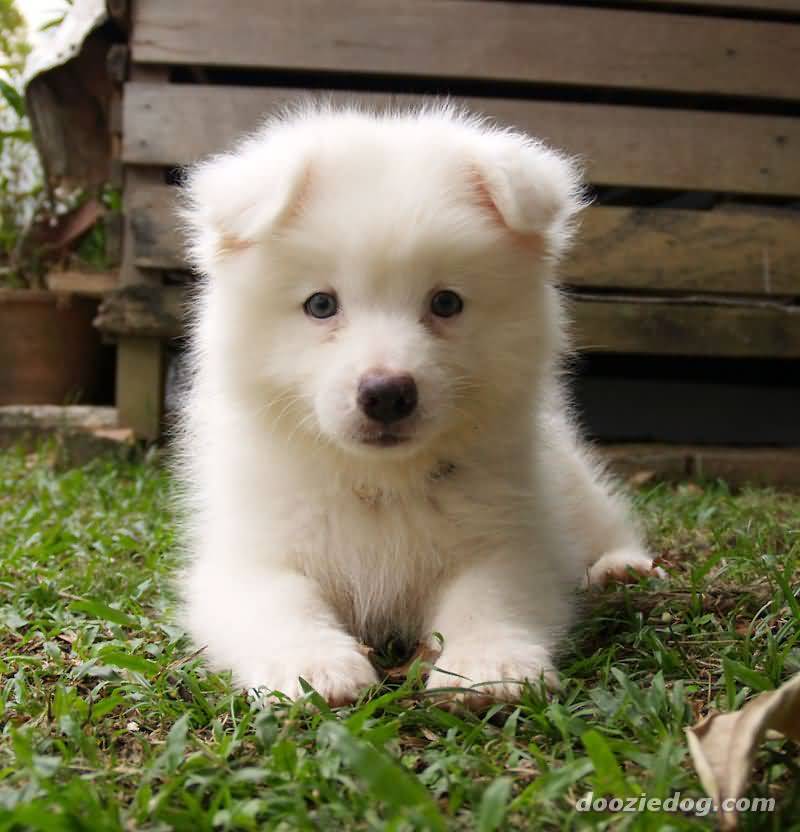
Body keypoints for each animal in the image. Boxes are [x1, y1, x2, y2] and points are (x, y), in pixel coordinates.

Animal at [180, 101, 664, 704]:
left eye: (446, 303)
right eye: (321, 305)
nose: (387, 394)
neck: (380, 483)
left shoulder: (509, 539)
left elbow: (487, 594)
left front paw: (489, 664)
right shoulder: (248, 555)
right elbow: (281, 601)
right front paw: (315, 666)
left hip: (573, 486)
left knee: (603, 522)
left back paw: (621, 567)